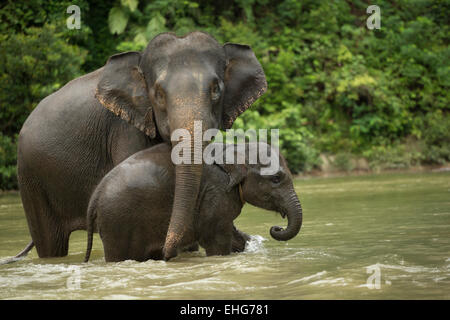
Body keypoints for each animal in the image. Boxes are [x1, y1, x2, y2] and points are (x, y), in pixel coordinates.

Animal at [84, 142, 302, 262]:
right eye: (276, 179)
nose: (276, 228)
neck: (234, 148)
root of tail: (95, 196)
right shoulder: (217, 192)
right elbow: (216, 239)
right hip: (118, 223)